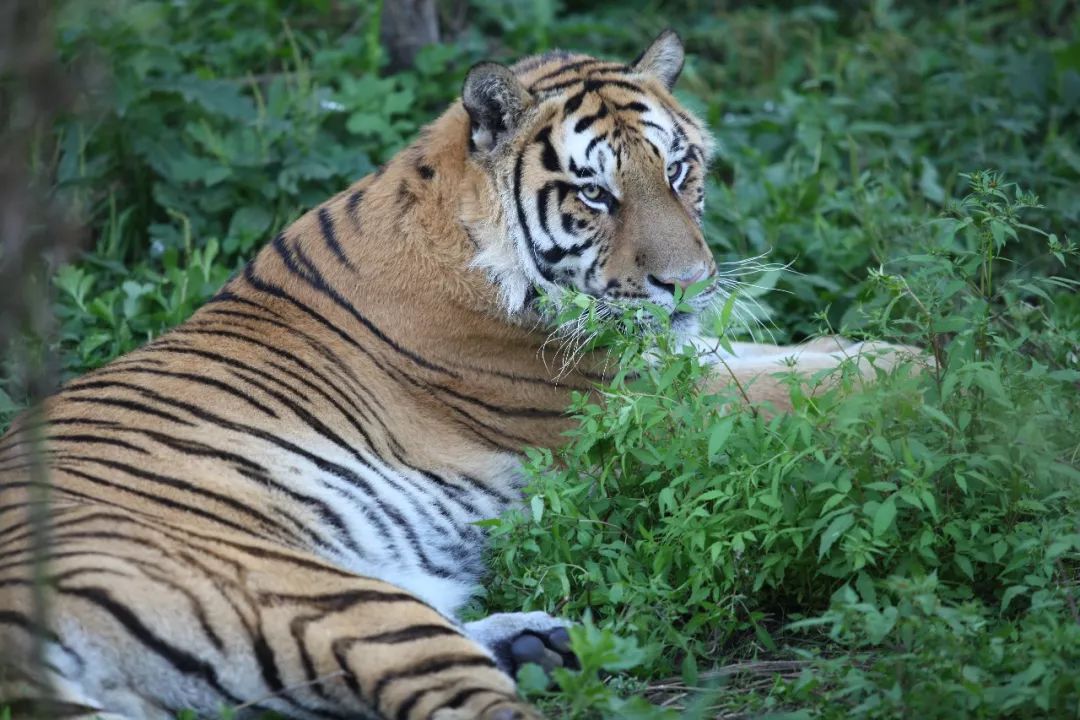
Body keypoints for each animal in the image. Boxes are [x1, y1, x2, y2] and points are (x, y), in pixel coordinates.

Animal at [0, 31, 915, 720]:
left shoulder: (666, 359)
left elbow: (798, 356)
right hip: (318, 592)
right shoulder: (632, 405)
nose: (688, 286)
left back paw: (541, 642)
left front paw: (885, 349)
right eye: (595, 195)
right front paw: (933, 374)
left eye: (679, 171)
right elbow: (795, 392)